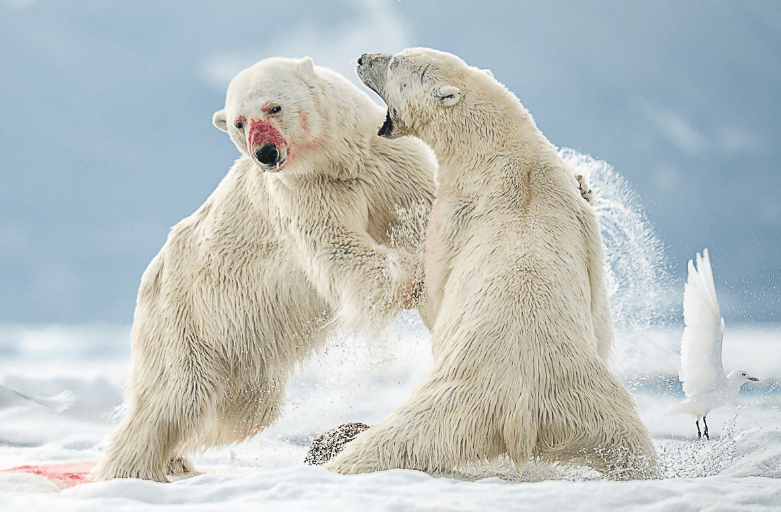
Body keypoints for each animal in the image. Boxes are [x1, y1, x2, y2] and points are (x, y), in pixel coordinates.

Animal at [326, 50, 656, 478]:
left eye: (395, 63)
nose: (363, 57)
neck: (506, 151)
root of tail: (519, 409)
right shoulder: (580, 221)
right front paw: (586, 183)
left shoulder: (455, 212)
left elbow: (439, 285)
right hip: (590, 409)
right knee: (631, 448)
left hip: (457, 403)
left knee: (388, 442)